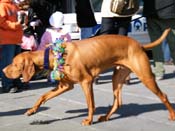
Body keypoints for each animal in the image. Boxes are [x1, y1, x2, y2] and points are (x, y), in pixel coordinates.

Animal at [2, 28, 175, 125]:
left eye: (14, 63)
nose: (3, 70)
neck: (53, 55)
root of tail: (139, 44)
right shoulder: (65, 85)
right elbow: (43, 96)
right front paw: (32, 110)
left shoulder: (86, 81)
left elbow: (90, 104)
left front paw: (88, 120)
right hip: (117, 78)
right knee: (117, 102)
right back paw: (105, 117)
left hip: (146, 77)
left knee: (164, 96)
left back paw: (172, 115)